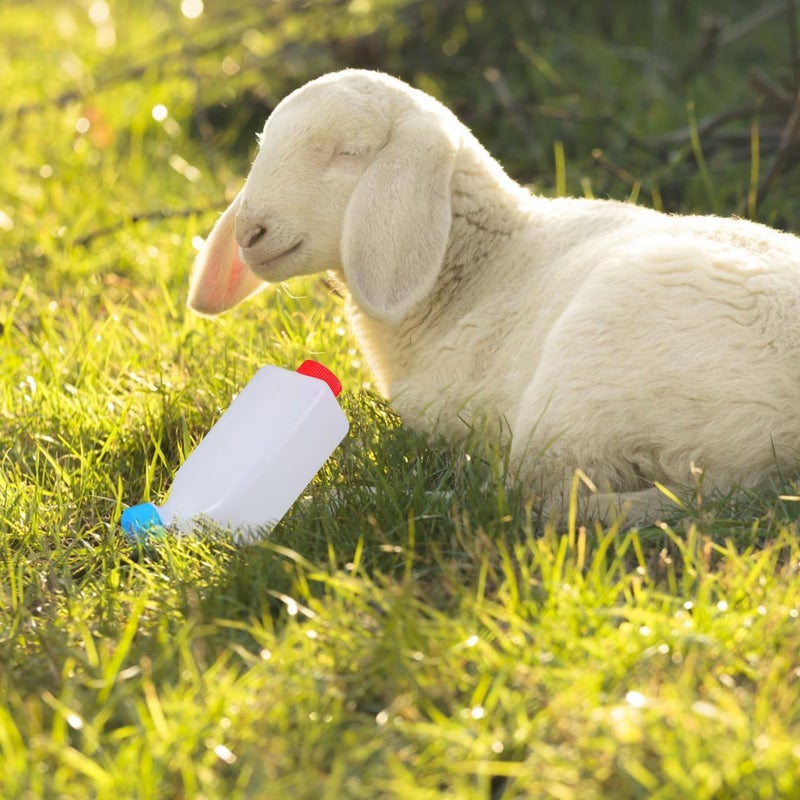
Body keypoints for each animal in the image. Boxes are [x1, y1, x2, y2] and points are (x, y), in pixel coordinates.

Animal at [187, 68, 800, 525]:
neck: (482, 264)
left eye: (349, 152)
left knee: (528, 497)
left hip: (579, 396)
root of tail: (771, 470)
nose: (249, 233)